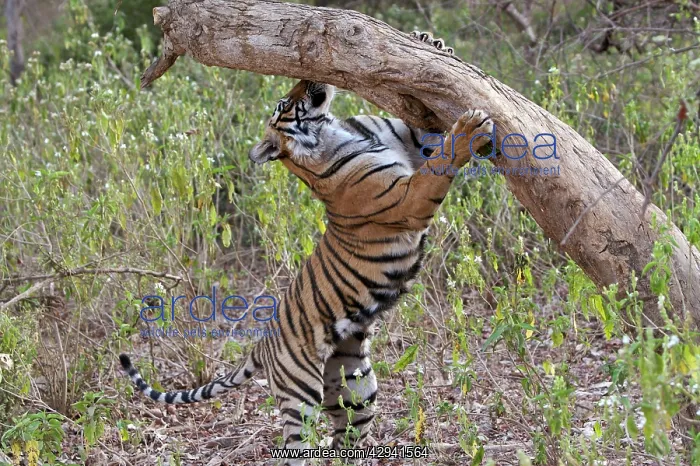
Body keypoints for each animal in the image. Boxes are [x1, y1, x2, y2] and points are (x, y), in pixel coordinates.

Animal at [119, 34, 492, 465]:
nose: (306, 77)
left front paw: (432, 43)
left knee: (346, 438)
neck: (332, 132)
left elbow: (423, 131)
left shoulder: (409, 142)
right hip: (300, 395)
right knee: (297, 445)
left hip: (357, 387)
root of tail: (261, 345)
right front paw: (469, 126)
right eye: (285, 102)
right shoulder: (408, 198)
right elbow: (440, 164)